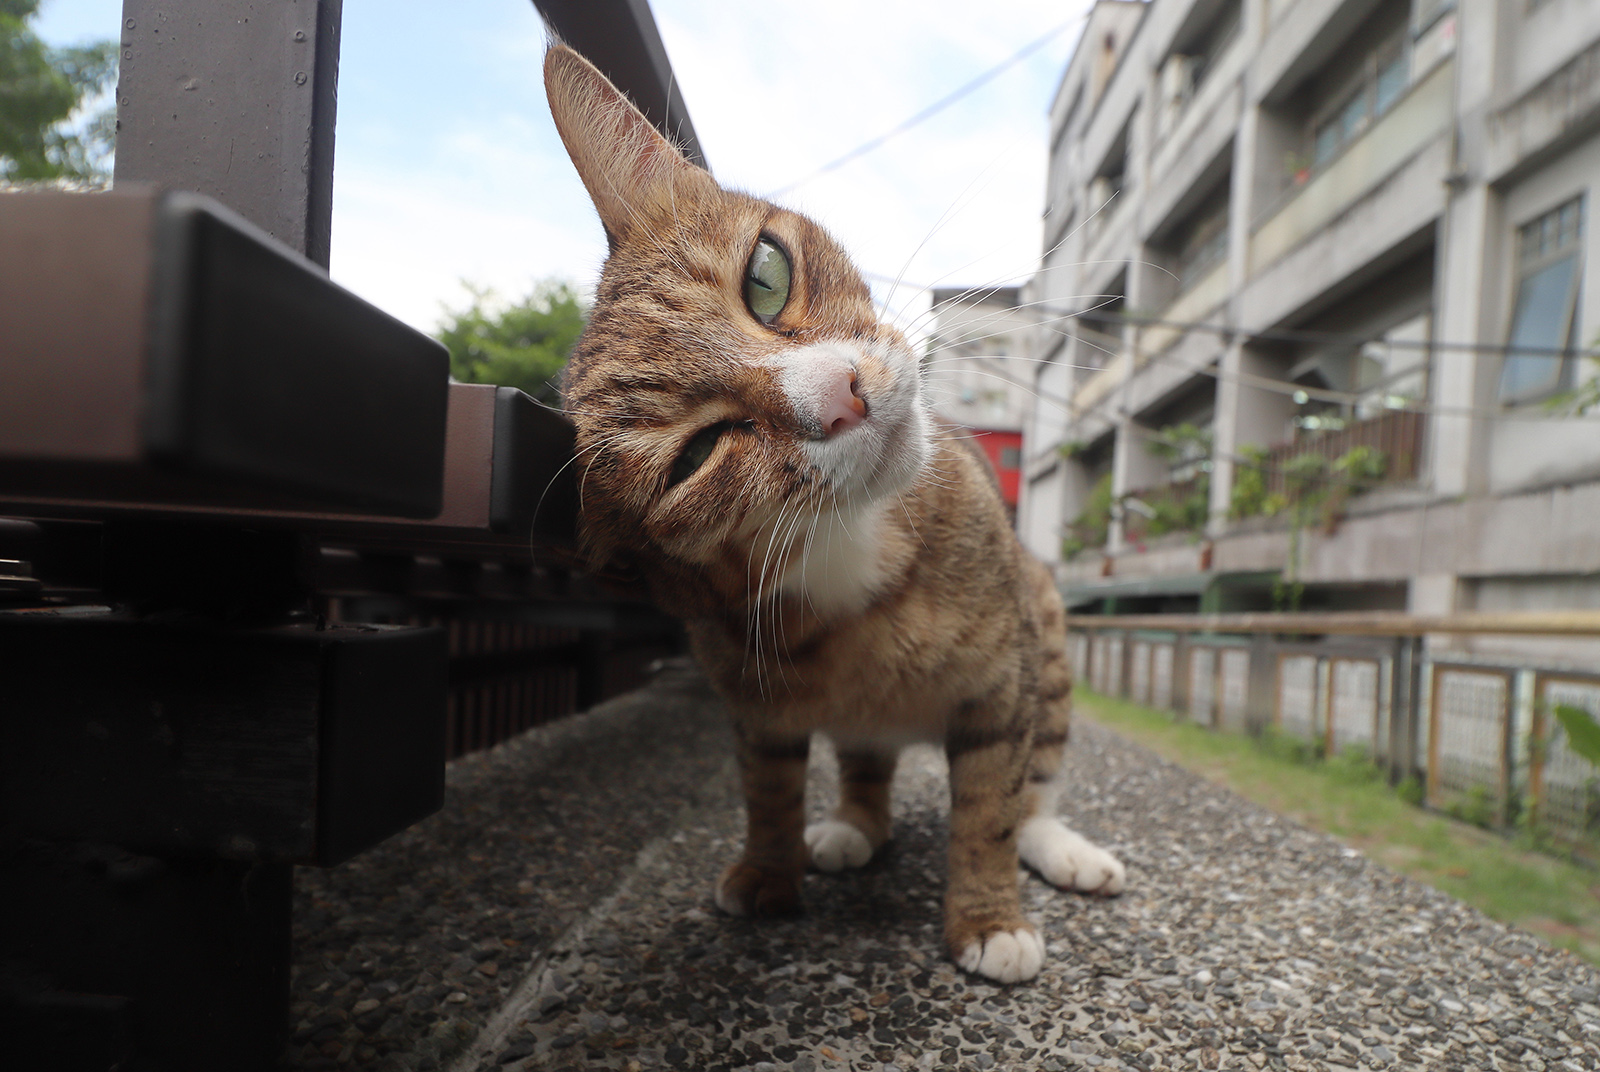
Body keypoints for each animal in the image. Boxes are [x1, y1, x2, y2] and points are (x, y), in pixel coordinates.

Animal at [547, 42, 1126, 985]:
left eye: (766, 275)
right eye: (694, 459)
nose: (842, 397)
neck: (855, 550)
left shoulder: (1000, 684)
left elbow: (990, 808)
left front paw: (988, 917)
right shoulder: (752, 696)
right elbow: (768, 787)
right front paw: (766, 871)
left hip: (1044, 645)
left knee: (1034, 783)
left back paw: (1059, 849)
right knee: (865, 768)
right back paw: (853, 824)